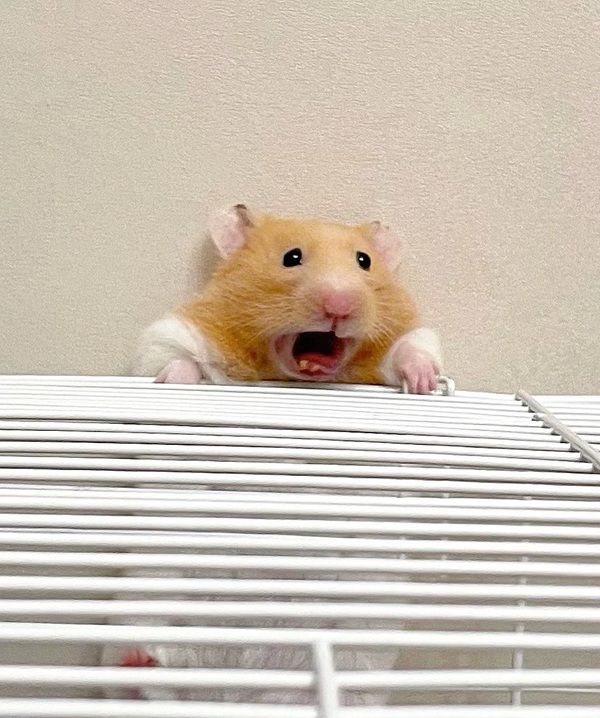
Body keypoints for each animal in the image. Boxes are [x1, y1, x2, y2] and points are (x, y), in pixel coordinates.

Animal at [135, 204, 442, 392]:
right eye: (291, 258)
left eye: (364, 261)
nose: (340, 305)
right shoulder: (169, 338)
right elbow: (177, 359)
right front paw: (172, 382)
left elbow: (411, 349)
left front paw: (423, 384)